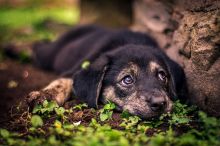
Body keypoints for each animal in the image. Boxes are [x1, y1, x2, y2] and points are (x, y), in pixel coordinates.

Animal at [30, 24, 186, 118]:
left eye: (162, 76)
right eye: (127, 80)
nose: (159, 103)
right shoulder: (76, 67)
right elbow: (62, 82)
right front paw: (44, 96)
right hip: (49, 54)